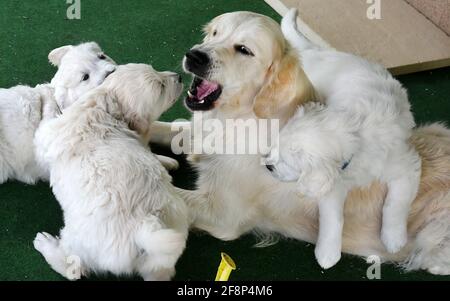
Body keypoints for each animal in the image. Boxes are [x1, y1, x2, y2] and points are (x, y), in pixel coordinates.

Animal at [33, 62, 187, 278]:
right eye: (161, 86)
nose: (179, 77)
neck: (106, 104)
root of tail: (146, 227)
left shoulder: (46, 133)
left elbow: (47, 116)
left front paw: (47, 93)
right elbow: (147, 149)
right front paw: (166, 161)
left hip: (80, 241)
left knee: (74, 269)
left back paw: (45, 244)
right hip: (161, 259)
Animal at [264, 8, 422, 268]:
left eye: (287, 162)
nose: (267, 165)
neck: (355, 133)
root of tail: (317, 51)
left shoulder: (406, 165)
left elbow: (396, 202)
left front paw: (393, 239)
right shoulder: (333, 184)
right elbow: (333, 218)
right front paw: (328, 254)